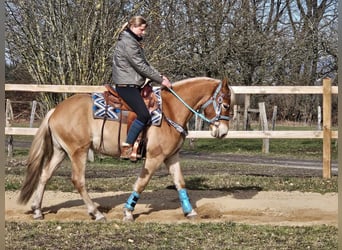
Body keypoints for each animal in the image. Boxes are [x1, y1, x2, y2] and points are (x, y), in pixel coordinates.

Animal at [18, 76, 232, 221]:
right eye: (226, 105)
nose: (222, 132)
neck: (171, 110)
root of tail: (56, 110)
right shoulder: (154, 157)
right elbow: (141, 183)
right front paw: (128, 211)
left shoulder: (171, 156)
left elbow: (180, 182)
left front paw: (190, 211)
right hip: (78, 152)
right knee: (78, 180)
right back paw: (96, 213)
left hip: (60, 151)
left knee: (45, 175)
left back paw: (37, 210)